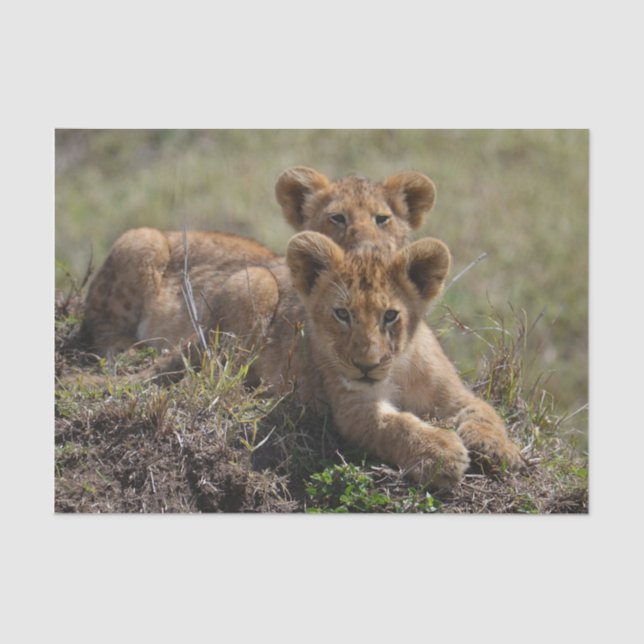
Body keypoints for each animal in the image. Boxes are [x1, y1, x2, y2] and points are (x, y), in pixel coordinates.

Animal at [128, 232, 524, 489]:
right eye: (342, 314)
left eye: (390, 316)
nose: (366, 365)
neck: (396, 370)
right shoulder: (353, 409)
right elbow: (396, 426)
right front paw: (441, 453)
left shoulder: (454, 395)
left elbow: (485, 413)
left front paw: (499, 449)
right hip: (254, 285)